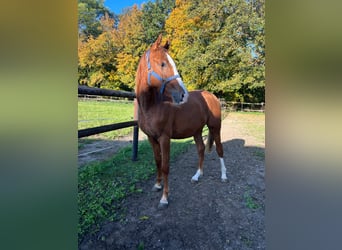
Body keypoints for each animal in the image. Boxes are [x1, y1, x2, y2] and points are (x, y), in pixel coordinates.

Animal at [136, 34, 227, 208]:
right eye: (163, 63)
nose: (183, 95)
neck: (152, 106)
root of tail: (211, 95)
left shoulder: (164, 138)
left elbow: (165, 166)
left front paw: (164, 198)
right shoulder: (151, 138)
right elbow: (157, 161)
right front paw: (157, 185)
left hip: (215, 127)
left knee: (219, 149)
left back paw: (224, 176)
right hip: (197, 130)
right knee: (200, 149)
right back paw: (197, 176)